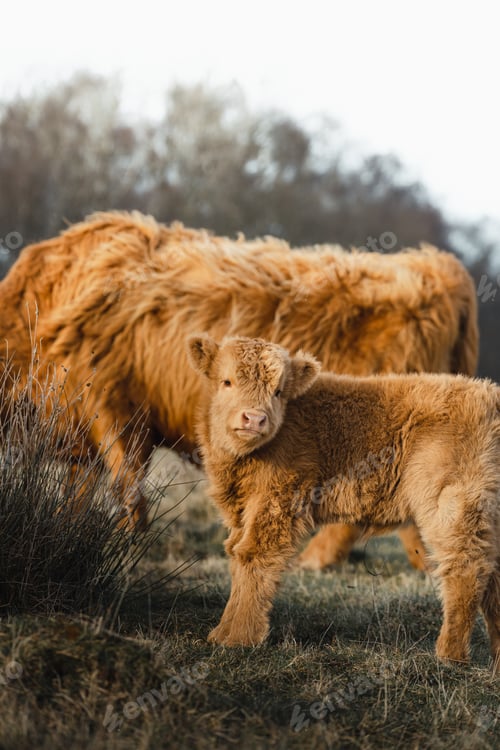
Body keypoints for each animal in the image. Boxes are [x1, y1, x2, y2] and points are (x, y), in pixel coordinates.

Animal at [0, 212, 478, 564]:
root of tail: (436, 269)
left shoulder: (114, 403)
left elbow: (125, 479)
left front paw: (126, 538)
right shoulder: (84, 424)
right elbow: (81, 489)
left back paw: (318, 560)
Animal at [187, 334, 500, 672]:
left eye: (279, 391)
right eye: (226, 381)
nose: (255, 419)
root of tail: (488, 394)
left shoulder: (276, 501)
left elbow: (253, 555)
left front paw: (237, 639)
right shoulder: (242, 512)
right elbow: (235, 554)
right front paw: (221, 633)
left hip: (453, 507)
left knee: (466, 568)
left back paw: (449, 656)